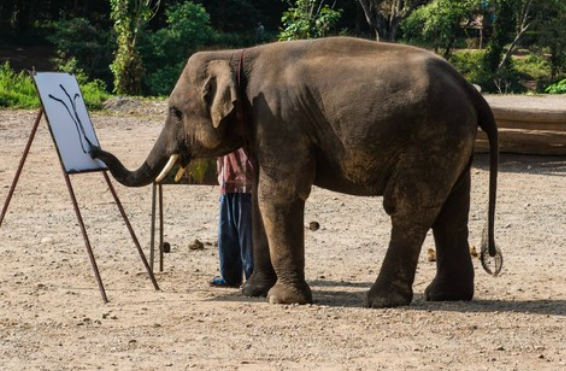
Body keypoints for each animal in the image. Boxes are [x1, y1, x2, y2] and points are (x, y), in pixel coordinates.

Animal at [92, 37, 502, 308]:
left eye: (175, 112)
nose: (94, 150)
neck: (238, 55)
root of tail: (470, 89)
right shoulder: (264, 125)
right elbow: (258, 196)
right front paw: (254, 292)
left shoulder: (280, 119)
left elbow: (278, 194)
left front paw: (283, 300)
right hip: (452, 140)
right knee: (451, 211)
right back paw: (446, 295)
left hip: (431, 135)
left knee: (408, 207)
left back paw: (383, 300)